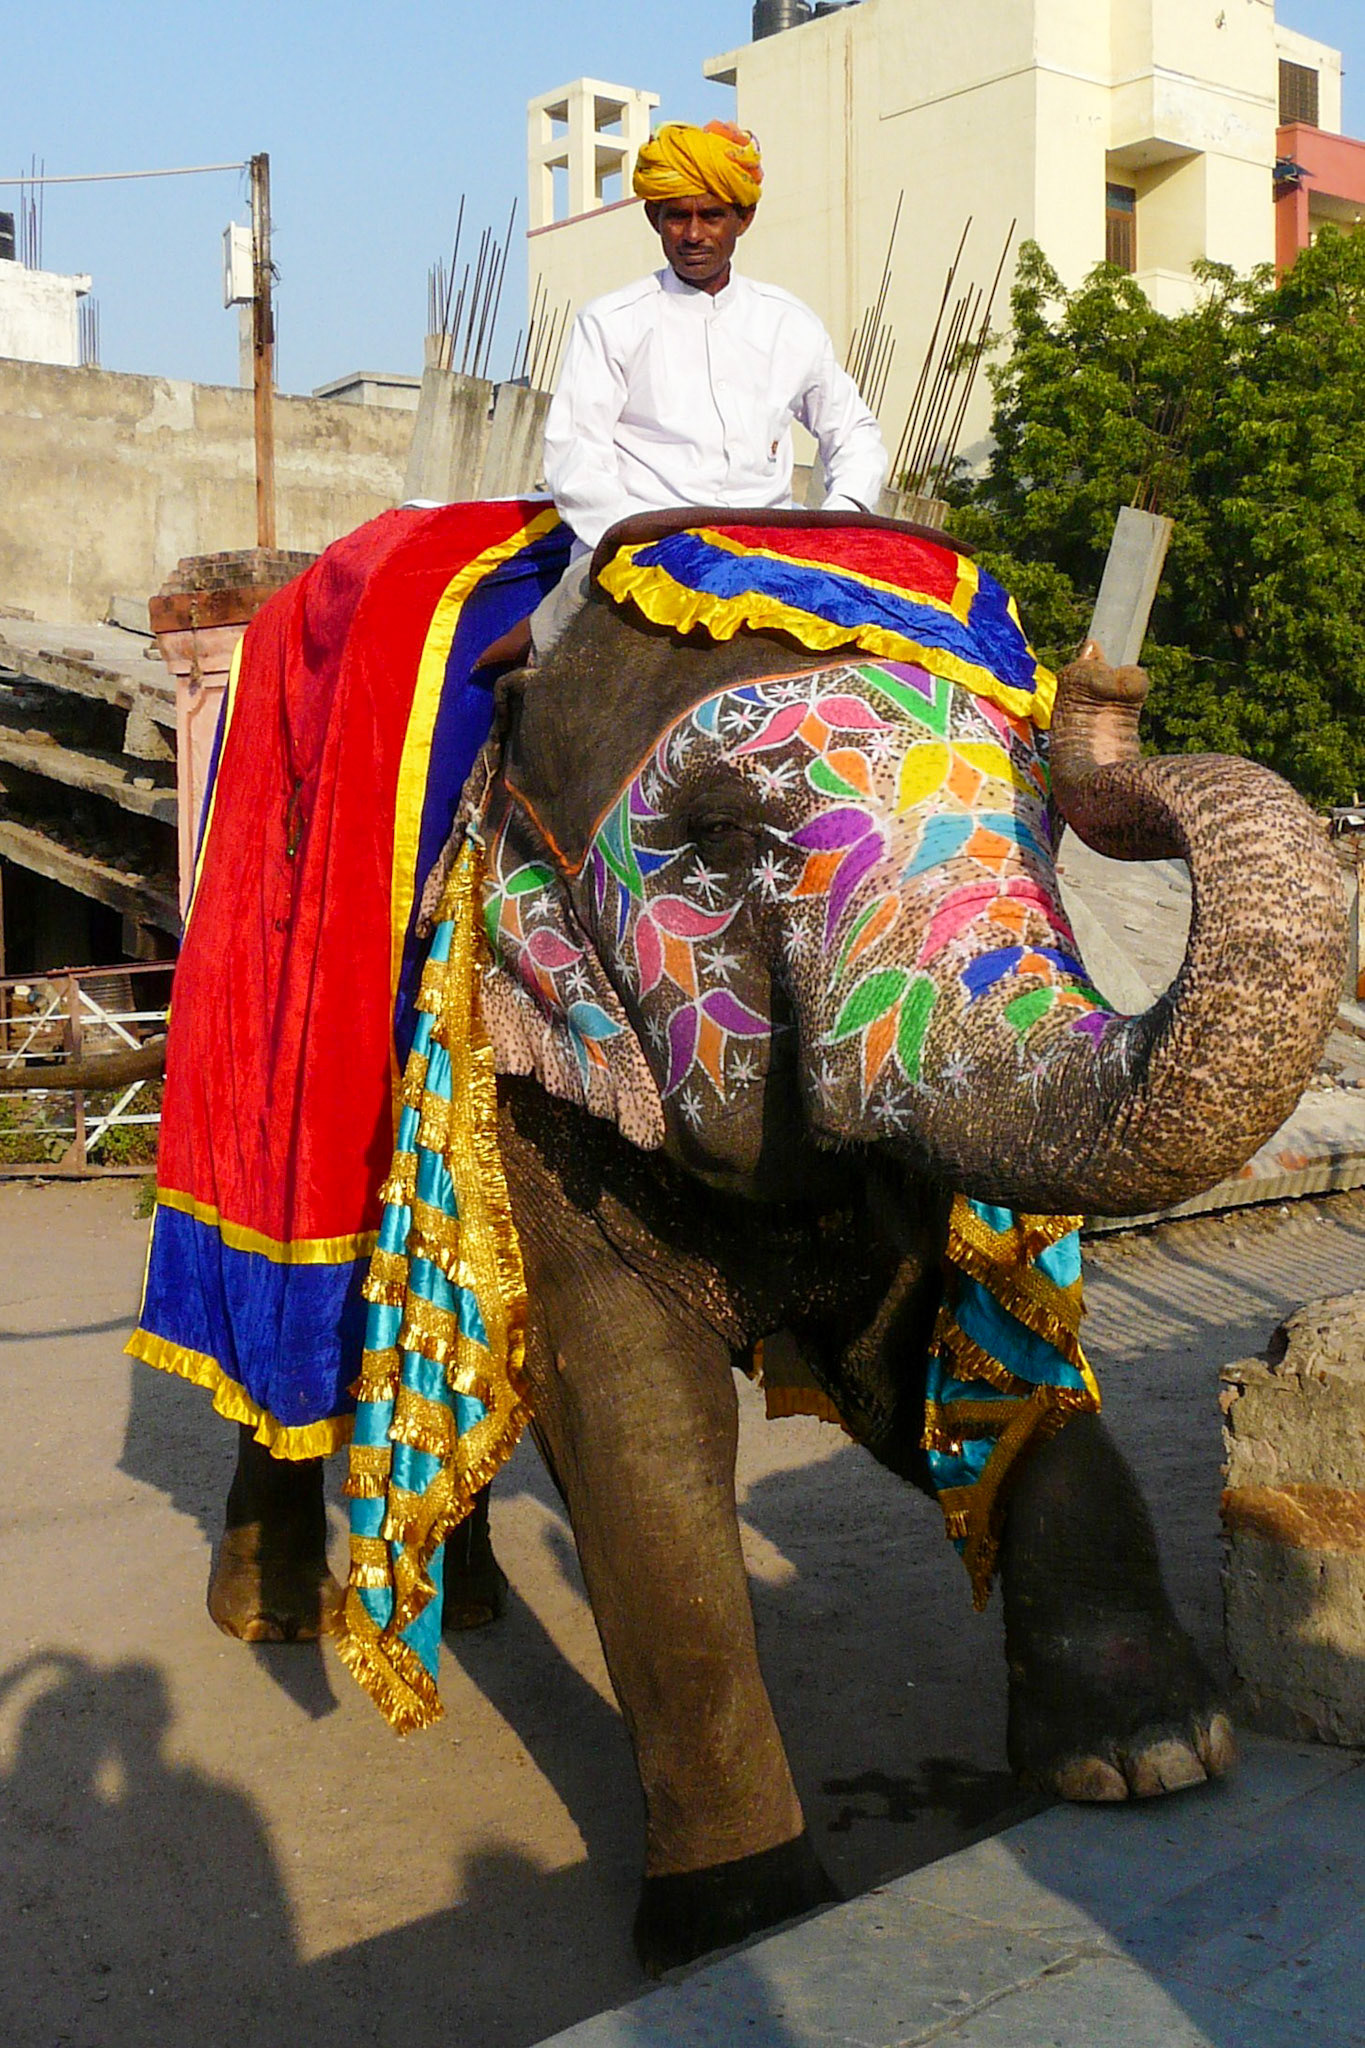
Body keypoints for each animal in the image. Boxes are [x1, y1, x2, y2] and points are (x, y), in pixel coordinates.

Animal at [214, 507, 1343, 1973]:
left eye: (1037, 818)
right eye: (718, 836)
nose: (1107, 691)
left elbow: (934, 1359)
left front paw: (1152, 1756)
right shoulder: (531, 1069)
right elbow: (636, 1416)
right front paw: (740, 1920)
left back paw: (469, 1606)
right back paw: (271, 1616)